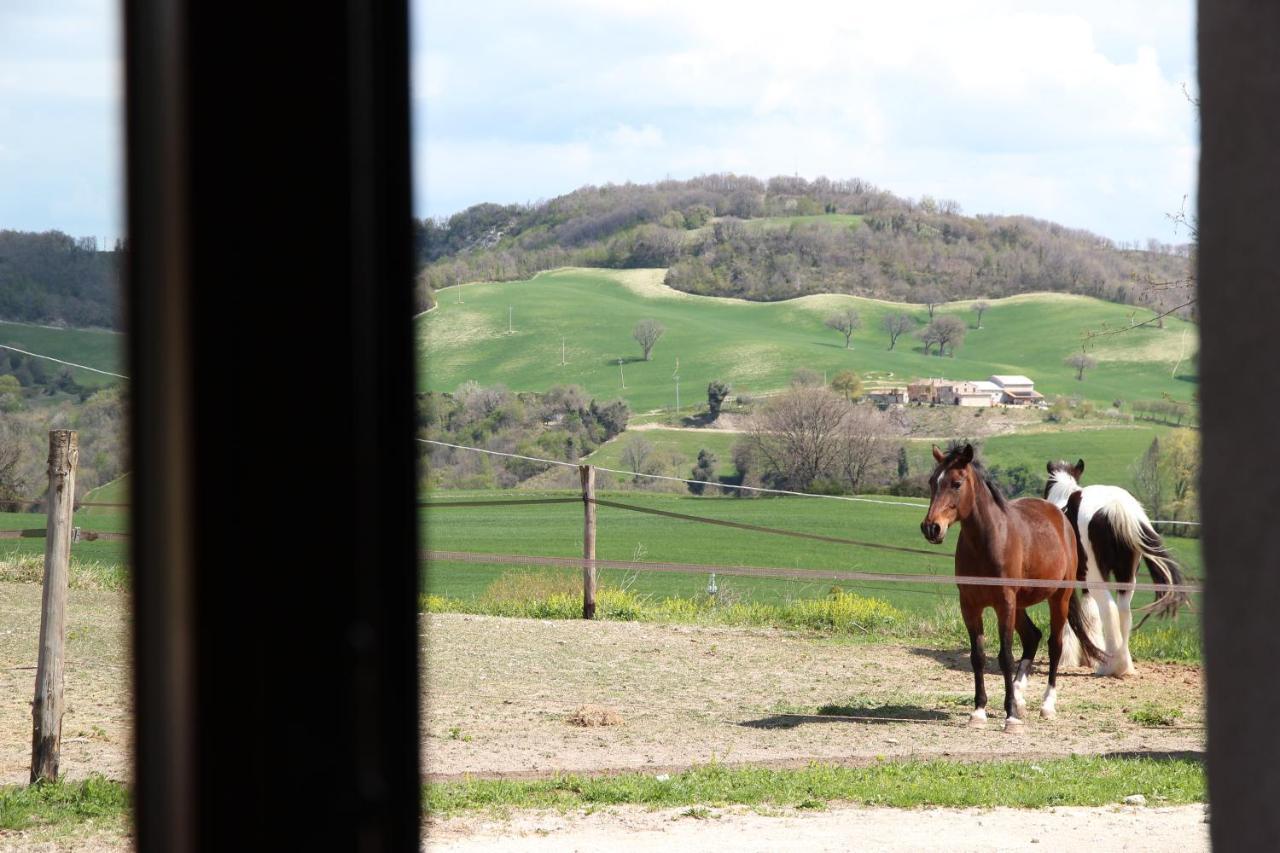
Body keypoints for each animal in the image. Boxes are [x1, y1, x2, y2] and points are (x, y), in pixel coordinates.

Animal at [916, 440, 1105, 727]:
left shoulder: (1004, 603)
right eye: (931, 481)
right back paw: (1019, 696)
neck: (988, 541)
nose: (931, 528)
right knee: (1032, 637)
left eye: (956, 483)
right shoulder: (970, 605)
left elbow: (1005, 657)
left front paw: (1011, 715)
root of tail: (1060, 516)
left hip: (1057, 599)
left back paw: (1046, 705)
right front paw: (979, 711)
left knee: (1054, 646)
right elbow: (978, 656)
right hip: (1020, 605)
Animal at [1044, 461, 1182, 676]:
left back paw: (1109, 665)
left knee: (1108, 609)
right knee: (1123, 611)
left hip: (1096, 575)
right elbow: (1090, 613)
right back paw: (1123, 665)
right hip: (1126, 576)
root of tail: (1115, 508)